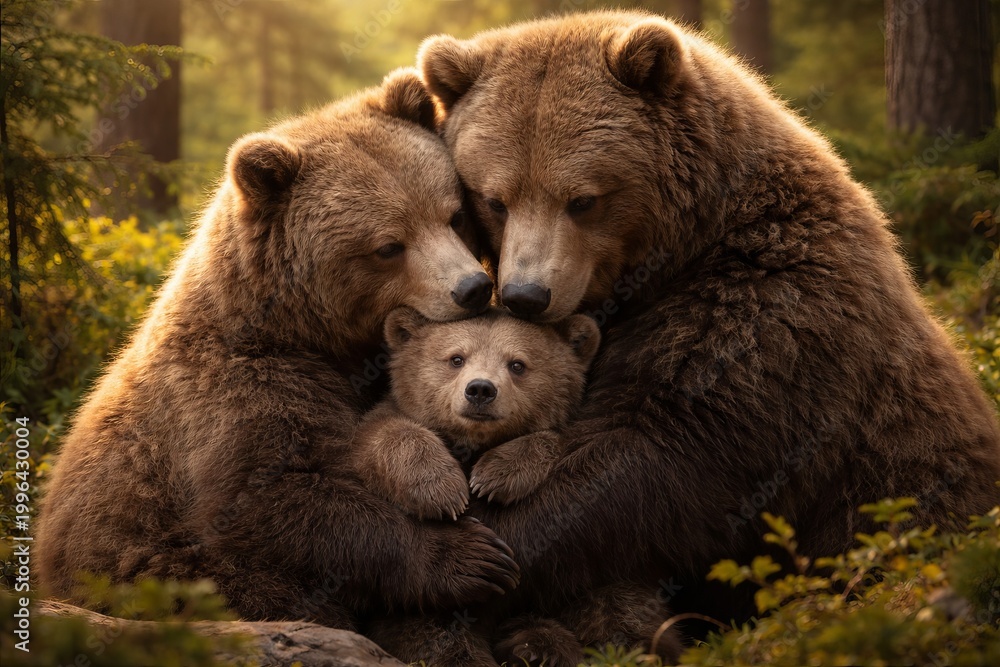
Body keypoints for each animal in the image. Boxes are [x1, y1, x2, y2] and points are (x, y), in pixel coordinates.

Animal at [34, 68, 520, 630]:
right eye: (388, 246)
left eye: (453, 215)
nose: (472, 288)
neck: (308, 334)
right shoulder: (235, 392)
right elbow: (271, 497)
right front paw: (468, 557)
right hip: (153, 565)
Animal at [354, 307, 681, 665]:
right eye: (456, 358)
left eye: (517, 364)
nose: (480, 390)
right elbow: (386, 434)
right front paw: (441, 490)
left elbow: (558, 441)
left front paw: (496, 475)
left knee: (619, 604)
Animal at [416, 10, 1000, 631]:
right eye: (495, 200)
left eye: (584, 199)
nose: (526, 295)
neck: (683, 249)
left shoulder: (765, 313)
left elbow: (651, 455)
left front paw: (475, 550)